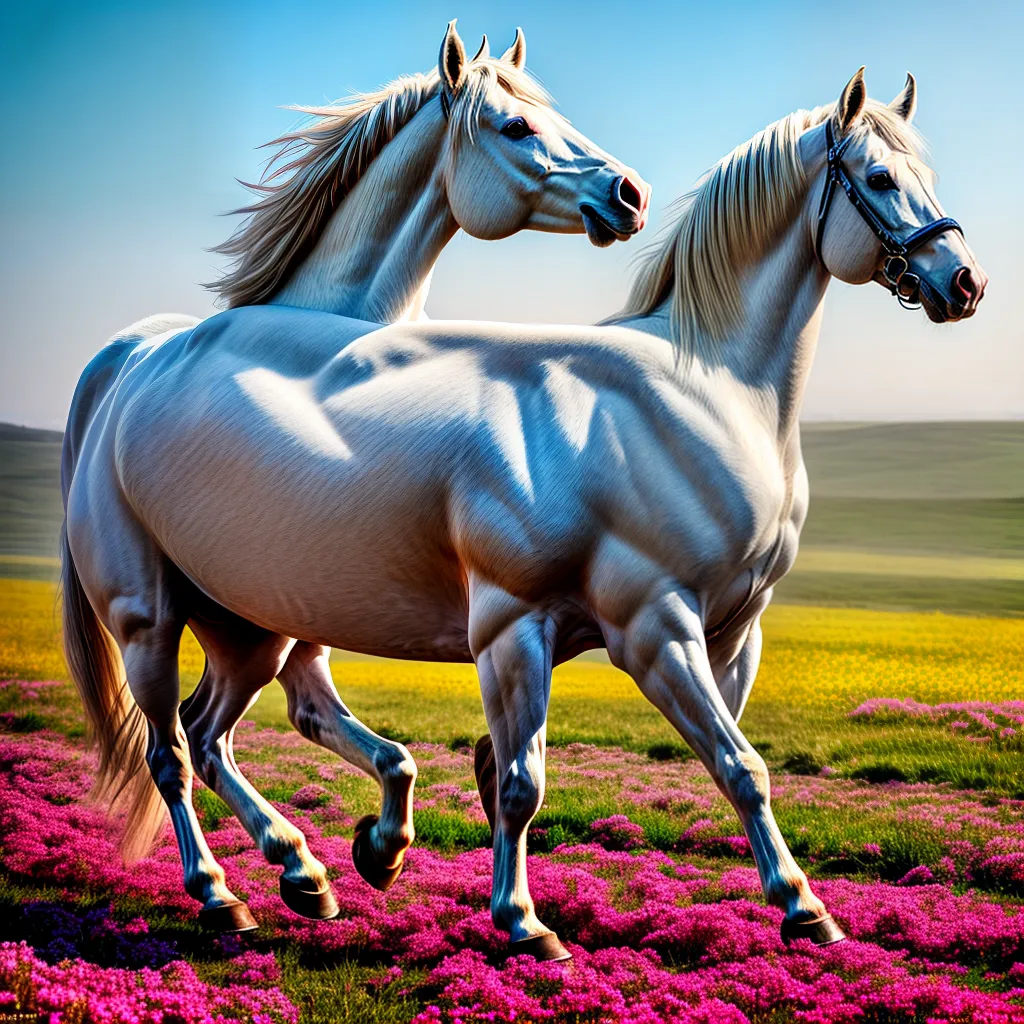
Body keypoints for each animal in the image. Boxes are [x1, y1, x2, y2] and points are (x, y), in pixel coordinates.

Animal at [61, 68, 985, 956]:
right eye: (878, 177)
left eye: (926, 176)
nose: (965, 281)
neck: (706, 391)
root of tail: (133, 358)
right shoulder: (602, 627)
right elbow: (531, 780)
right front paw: (524, 923)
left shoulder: (731, 634)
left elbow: (736, 766)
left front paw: (800, 906)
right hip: (151, 620)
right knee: (171, 753)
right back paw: (223, 895)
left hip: (252, 627)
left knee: (216, 729)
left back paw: (310, 870)